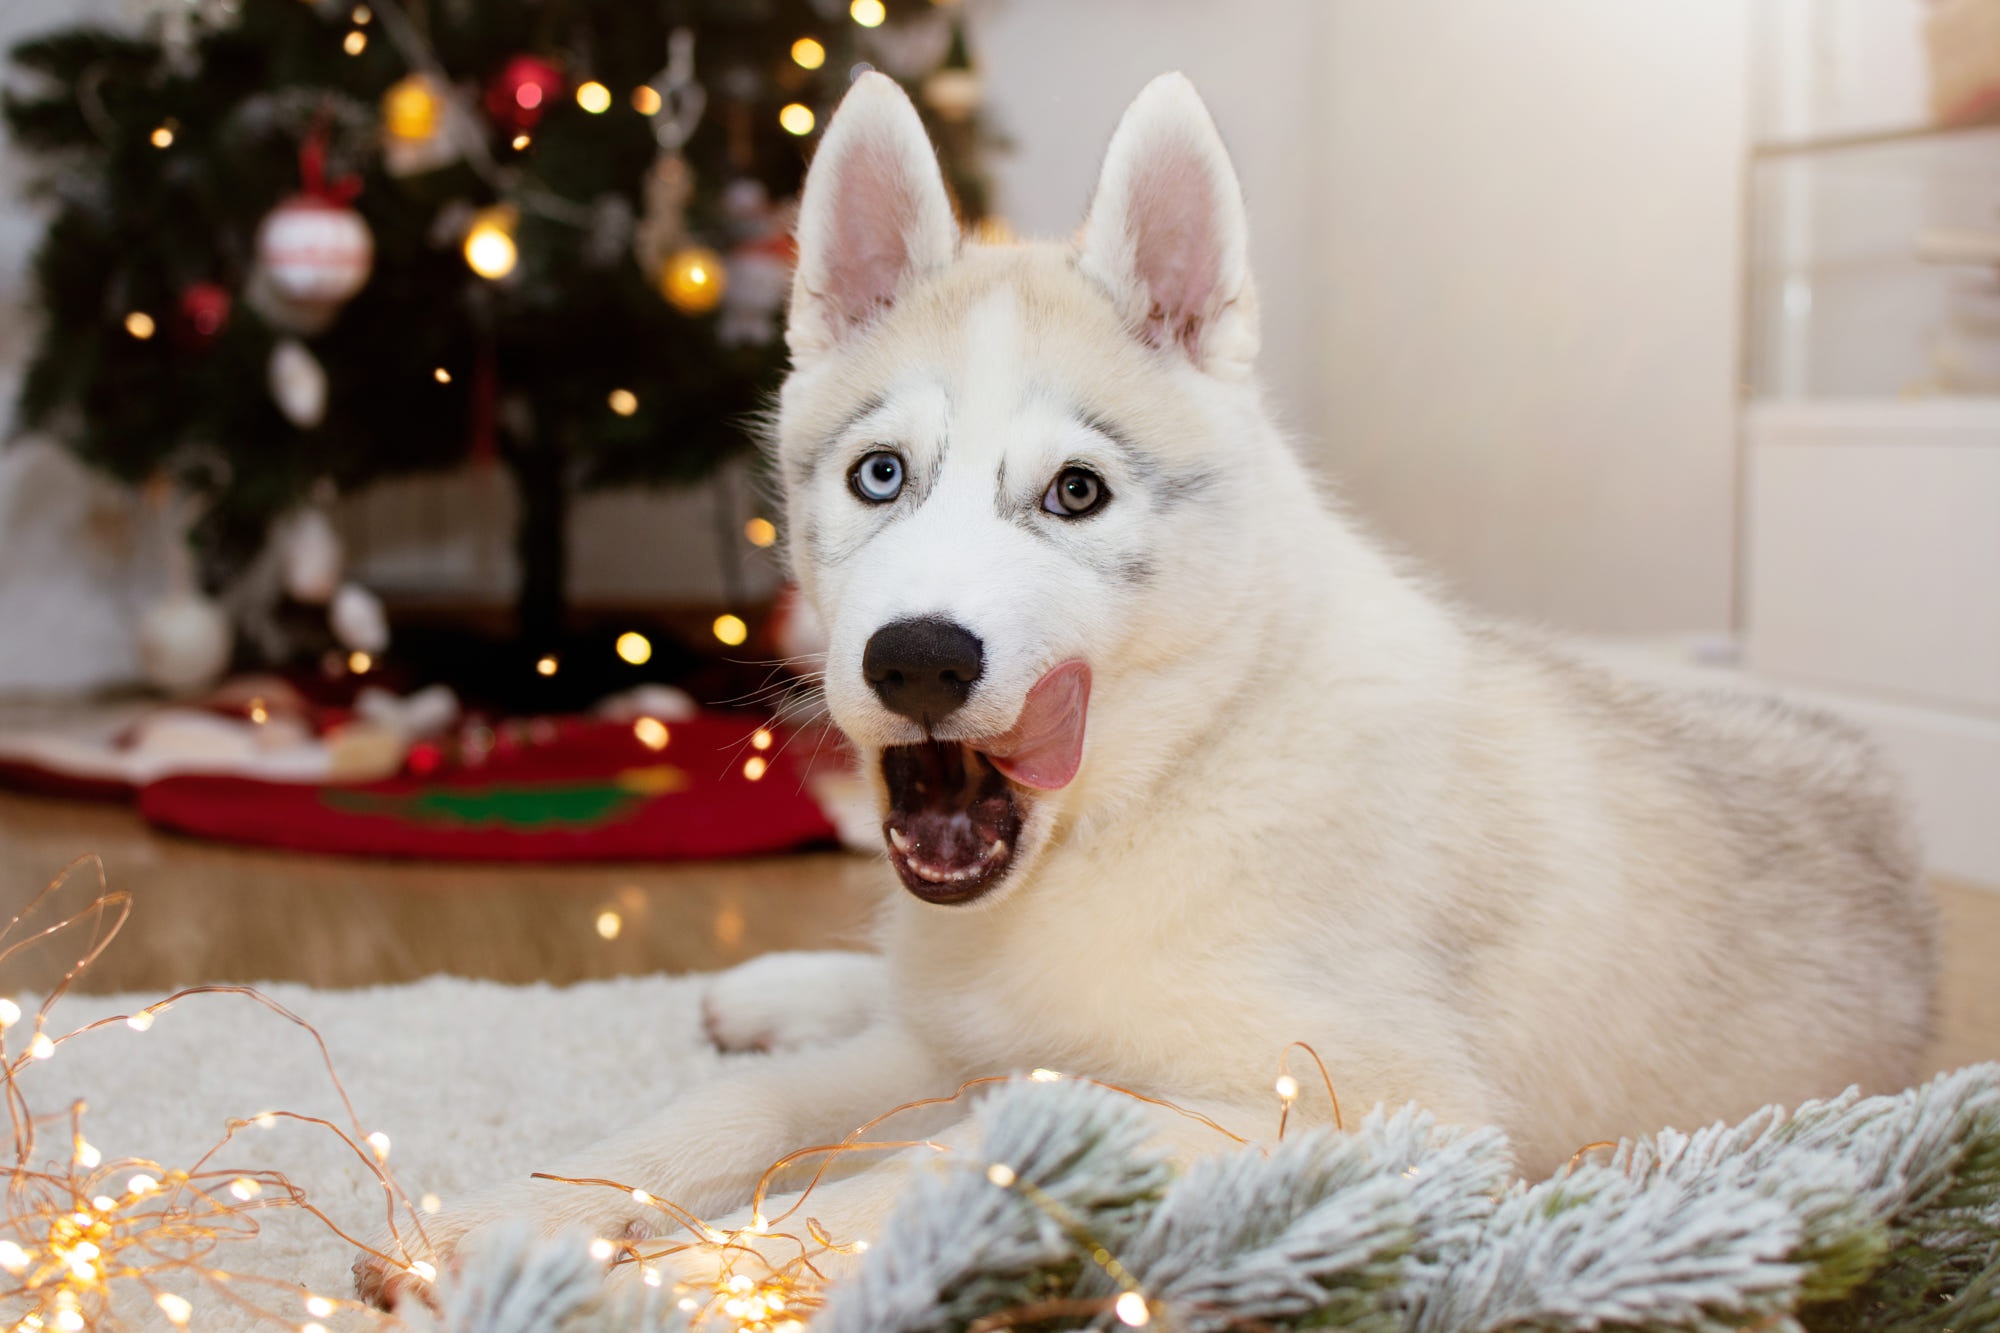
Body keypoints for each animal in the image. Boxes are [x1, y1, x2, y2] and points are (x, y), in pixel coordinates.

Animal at [364, 75, 1936, 1296]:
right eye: (880, 475)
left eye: (1076, 492)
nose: (916, 657)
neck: (1160, 794)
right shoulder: (962, 1034)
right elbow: (747, 1105)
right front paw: (509, 1215)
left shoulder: (1383, 1113)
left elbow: (946, 1163)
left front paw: (697, 1271)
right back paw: (772, 989)